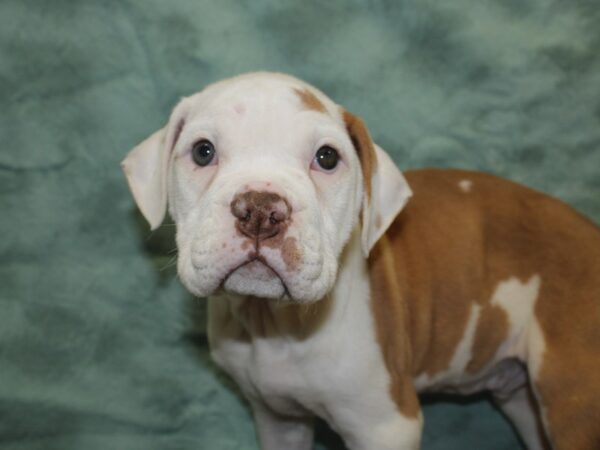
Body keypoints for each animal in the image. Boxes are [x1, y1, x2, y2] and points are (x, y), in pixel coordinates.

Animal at [122, 73, 600, 450]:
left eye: (327, 157)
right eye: (202, 151)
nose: (260, 209)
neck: (276, 324)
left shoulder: (385, 426)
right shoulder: (279, 419)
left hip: (573, 398)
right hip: (525, 401)